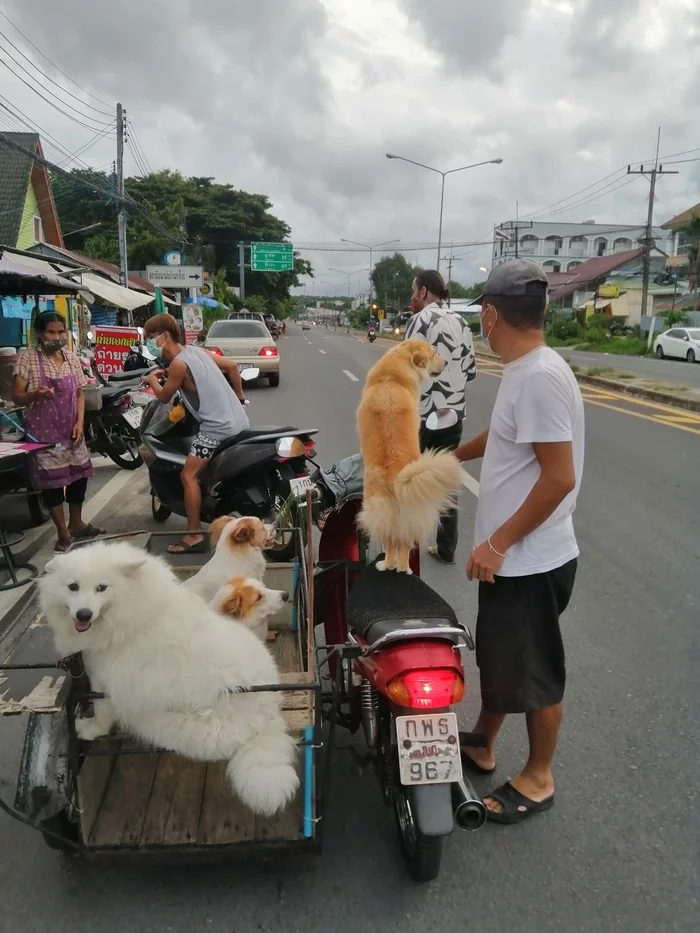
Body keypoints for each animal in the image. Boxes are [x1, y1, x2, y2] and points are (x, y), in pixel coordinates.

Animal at [41, 540, 298, 816]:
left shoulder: (106, 683)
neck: (129, 611)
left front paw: (88, 731)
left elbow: (100, 713)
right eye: (72, 587)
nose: (83, 614)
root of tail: (271, 713)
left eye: (102, 587)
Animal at [358, 338, 462, 572]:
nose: (446, 362)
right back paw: (401, 568)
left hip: (384, 511)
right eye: (433, 354)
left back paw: (389, 566)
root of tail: (398, 475)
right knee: (402, 547)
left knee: (392, 546)